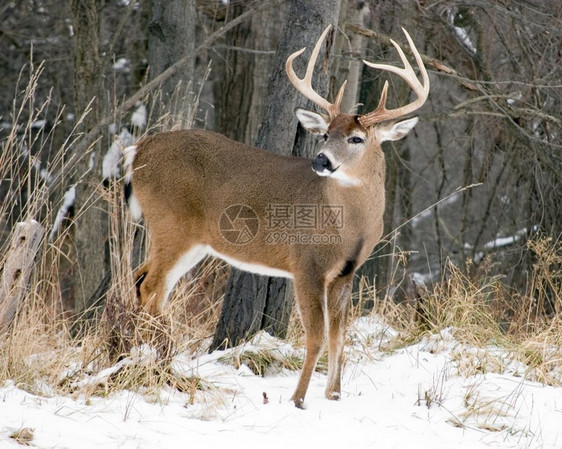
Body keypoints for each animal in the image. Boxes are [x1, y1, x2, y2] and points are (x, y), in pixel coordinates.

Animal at [123, 26, 428, 408]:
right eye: (325, 134)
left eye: (357, 138)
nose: (321, 160)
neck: (349, 225)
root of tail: (138, 150)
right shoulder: (307, 263)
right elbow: (316, 335)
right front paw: (298, 399)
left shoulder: (347, 272)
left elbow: (339, 334)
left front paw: (334, 395)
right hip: (171, 224)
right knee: (150, 285)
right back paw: (161, 357)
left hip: (192, 241)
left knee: (144, 281)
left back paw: (146, 353)